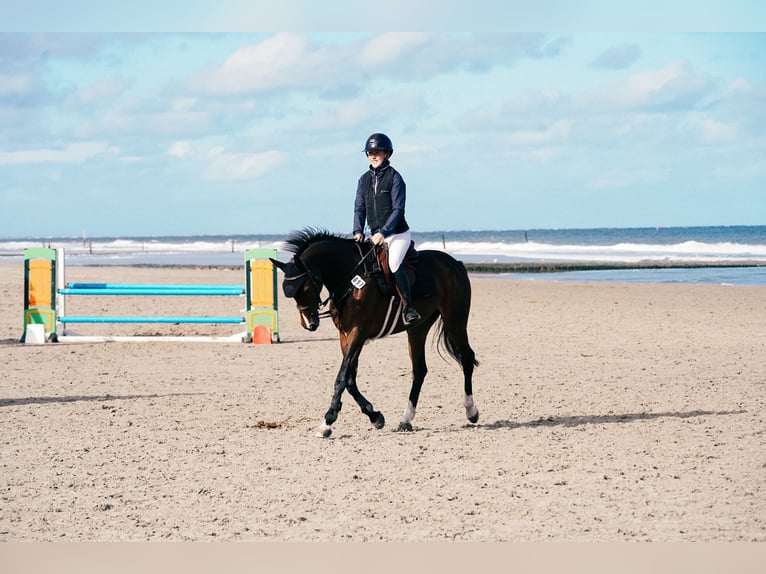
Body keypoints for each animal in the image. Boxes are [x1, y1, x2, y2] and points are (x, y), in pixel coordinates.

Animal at [272, 227, 480, 438]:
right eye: (288, 292)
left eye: (305, 287)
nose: (309, 324)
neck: (350, 279)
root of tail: (455, 263)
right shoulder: (345, 336)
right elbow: (350, 379)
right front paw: (375, 416)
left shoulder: (358, 333)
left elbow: (341, 378)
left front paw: (327, 421)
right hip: (417, 329)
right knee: (420, 370)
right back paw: (406, 419)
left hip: (455, 321)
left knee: (467, 358)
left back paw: (471, 411)